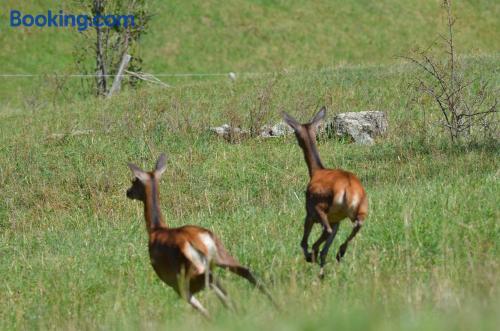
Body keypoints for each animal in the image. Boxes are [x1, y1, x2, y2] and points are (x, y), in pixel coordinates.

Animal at [125, 154, 278, 320]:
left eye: (134, 181)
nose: (128, 192)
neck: (156, 229)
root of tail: (198, 242)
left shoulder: (175, 283)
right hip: (221, 255)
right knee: (245, 272)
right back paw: (277, 306)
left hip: (192, 273)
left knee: (215, 286)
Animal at [284, 107, 370, 278]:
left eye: (295, 133)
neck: (316, 171)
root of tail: (348, 189)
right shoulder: (336, 220)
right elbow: (326, 249)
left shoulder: (309, 212)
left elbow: (304, 241)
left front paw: (310, 256)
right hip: (360, 209)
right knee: (356, 225)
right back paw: (339, 253)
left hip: (320, 207)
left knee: (325, 232)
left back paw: (314, 254)